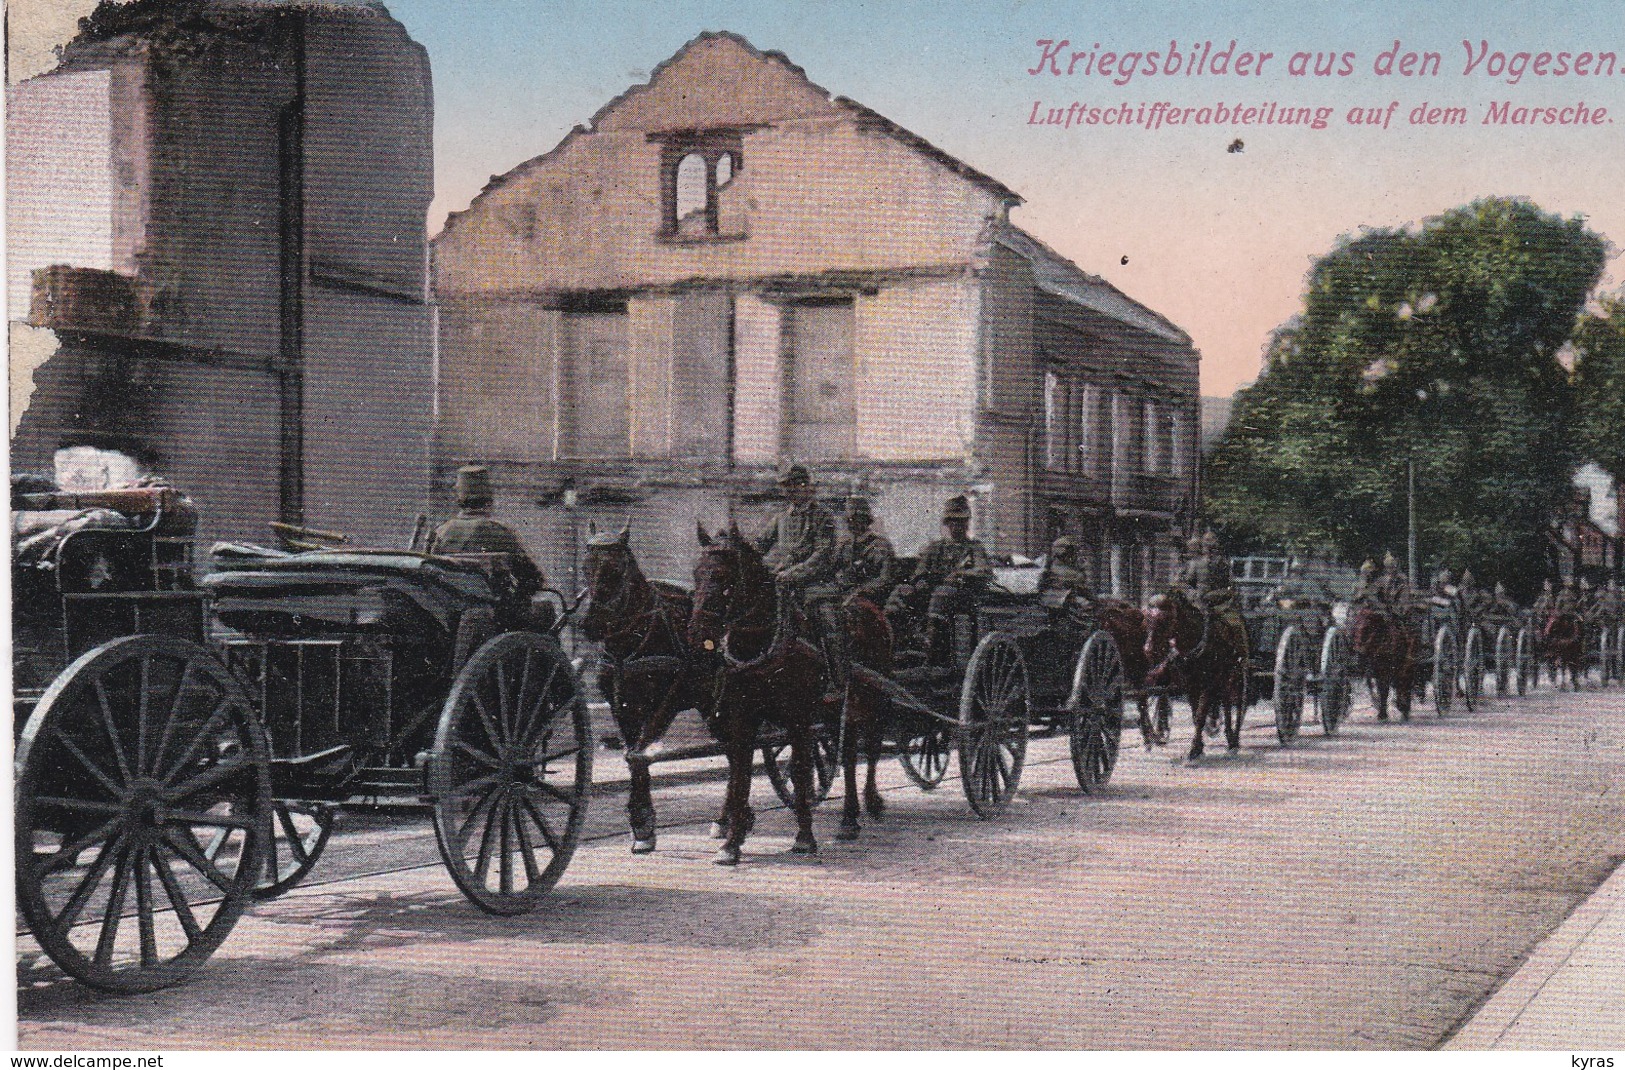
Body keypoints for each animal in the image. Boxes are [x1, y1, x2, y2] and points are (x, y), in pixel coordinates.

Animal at [581, 523, 715, 852]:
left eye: (616, 570)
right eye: (585, 567)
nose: (590, 625)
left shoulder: (666, 702)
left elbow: (639, 753)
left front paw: (642, 821)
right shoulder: (622, 706)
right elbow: (632, 757)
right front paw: (641, 823)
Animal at [1150, 582, 1248, 757]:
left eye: (1166, 618)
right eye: (1148, 618)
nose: (1149, 649)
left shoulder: (1207, 684)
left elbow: (1201, 714)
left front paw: (1194, 749)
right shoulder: (1191, 685)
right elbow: (1196, 714)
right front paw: (1199, 746)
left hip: (1233, 675)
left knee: (1232, 704)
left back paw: (1233, 740)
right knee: (1225, 702)